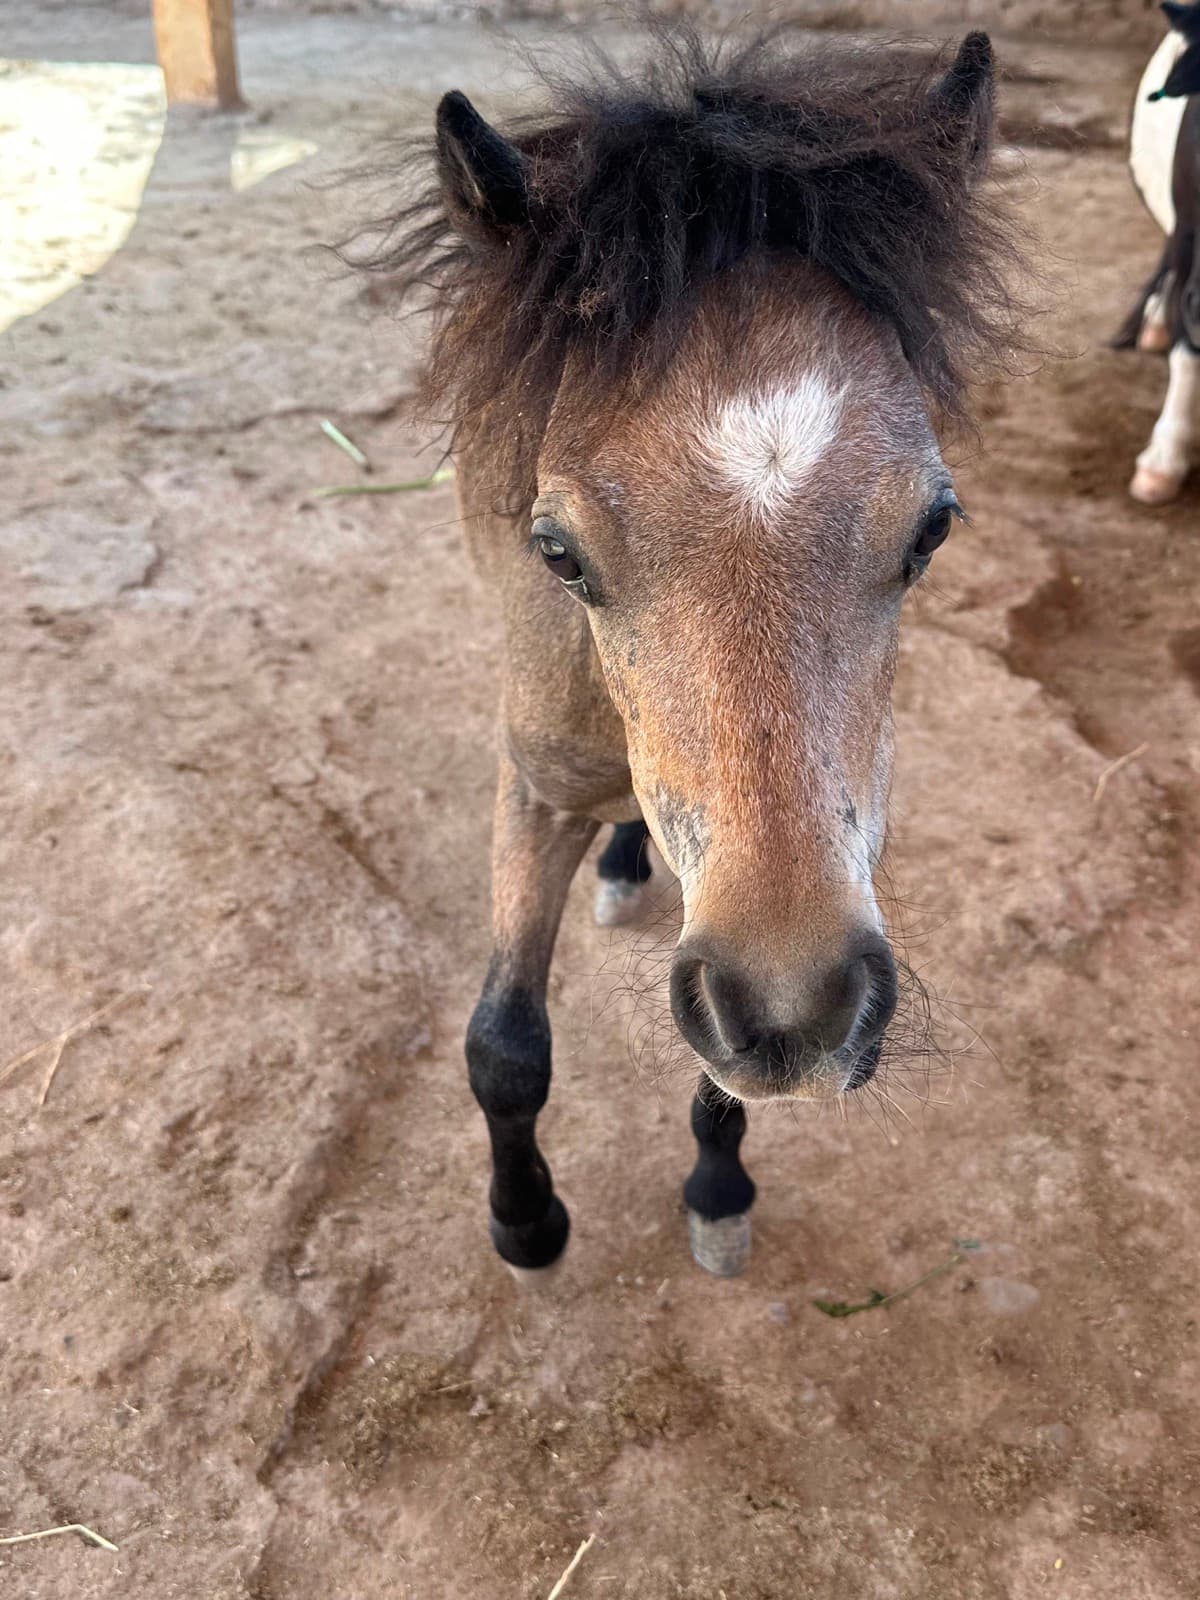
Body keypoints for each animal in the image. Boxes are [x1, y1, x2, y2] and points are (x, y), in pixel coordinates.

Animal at [354, 27, 1026, 1278]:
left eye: (932, 530)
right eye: (556, 551)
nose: (797, 1016)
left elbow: (717, 1081)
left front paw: (718, 1189)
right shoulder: (533, 786)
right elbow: (504, 1043)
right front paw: (526, 1221)